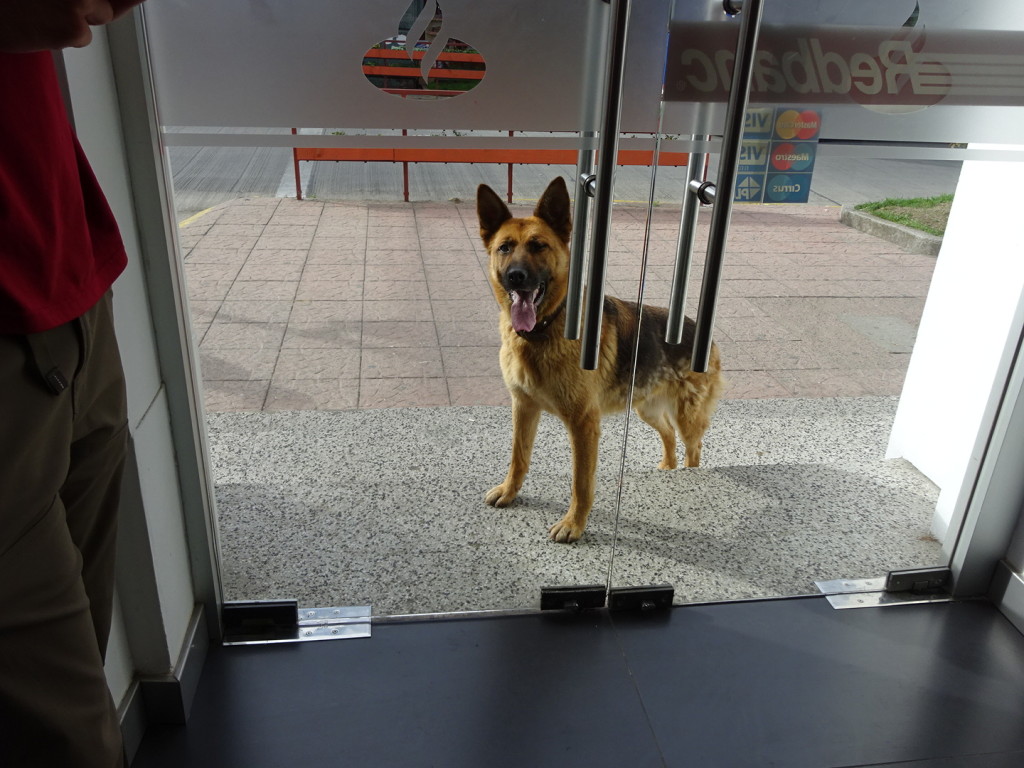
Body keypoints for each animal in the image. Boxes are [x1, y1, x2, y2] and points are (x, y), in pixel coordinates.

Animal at [475, 177, 724, 544]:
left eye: (538, 246)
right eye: (504, 248)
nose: (516, 276)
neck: (545, 330)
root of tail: (704, 335)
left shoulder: (583, 424)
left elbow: (581, 482)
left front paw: (574, 524)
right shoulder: (523, 407)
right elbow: (518, 457)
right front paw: (510, 492)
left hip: (687, 418)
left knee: (694, 448)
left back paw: (687, 474)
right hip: (647, 409)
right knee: (667, 435)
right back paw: (667, 467)